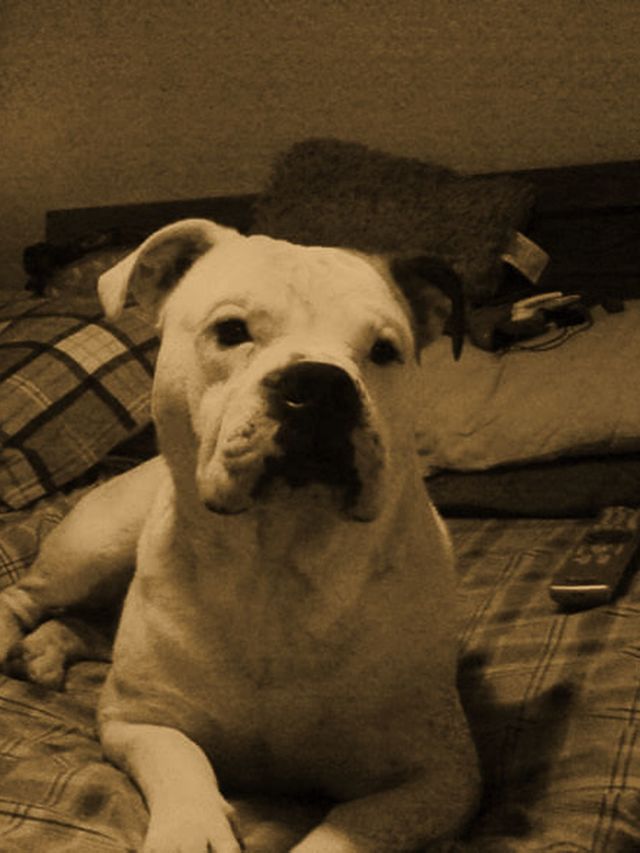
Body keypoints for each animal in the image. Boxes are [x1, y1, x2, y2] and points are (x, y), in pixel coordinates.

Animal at [0, 220, 479, 852]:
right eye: (230, 331)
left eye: (384, 351)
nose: (320, 383)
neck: (277, 566)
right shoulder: (139, 722)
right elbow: (183, 762)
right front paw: (191, 830)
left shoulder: (439, 777)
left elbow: (349, 828)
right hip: (94, 548)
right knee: (26, 597)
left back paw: (44, 653)